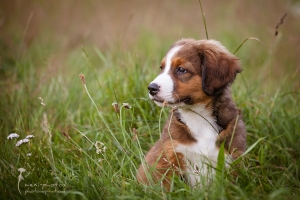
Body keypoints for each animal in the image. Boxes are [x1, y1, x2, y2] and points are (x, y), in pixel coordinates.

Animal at [137, 38, 247, 190]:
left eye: (181, 69)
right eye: (162, 68)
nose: (151, 88)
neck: (197, 116)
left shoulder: (232, 157)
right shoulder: (167, 155)